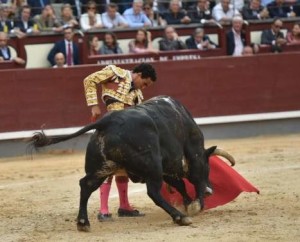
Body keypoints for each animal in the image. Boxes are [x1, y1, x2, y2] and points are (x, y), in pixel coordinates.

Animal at [29, 95, 234, 232]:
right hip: (152, 166)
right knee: (153, 192)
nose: (210, 191)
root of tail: (107, 122)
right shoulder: (184, 156)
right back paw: (180, 217)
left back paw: (83, 223)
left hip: (102, 167)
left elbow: (179, 184)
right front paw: (194, 205)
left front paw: (189, 203)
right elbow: (185, 181)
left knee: (86, 185)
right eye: (208, 168)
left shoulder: (167, 167)